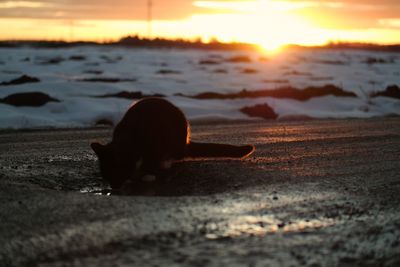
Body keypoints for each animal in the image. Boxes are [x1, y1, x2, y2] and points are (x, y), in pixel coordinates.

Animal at [90, 97, 253, 189]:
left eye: (116, 173)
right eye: (106, 176)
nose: (114, 188)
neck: (129, 139)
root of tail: (186, 143)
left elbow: (151, 162)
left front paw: (147, 174)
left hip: (176, 137)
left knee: (176, 155)